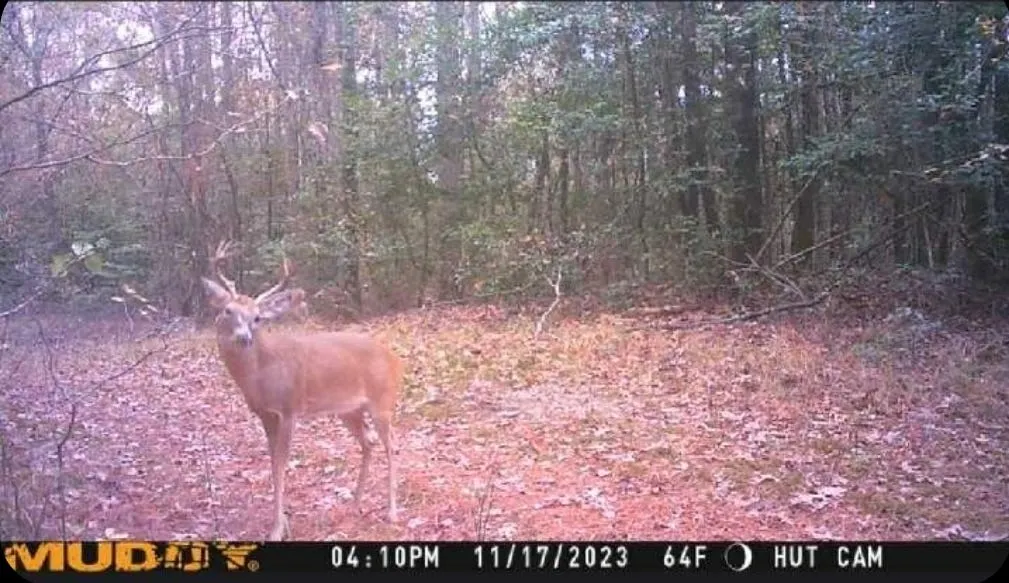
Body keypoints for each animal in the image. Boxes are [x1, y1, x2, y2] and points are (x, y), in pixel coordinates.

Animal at [200, 240, 402, 540]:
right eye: (228, 310)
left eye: (257, 318)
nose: (244, 337)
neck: (262, 372)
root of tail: (395, 358)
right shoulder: (265, 414)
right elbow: (273, 465)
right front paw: (281, 525)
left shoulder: (289, 408)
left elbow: (281, 466)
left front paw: (276, 531)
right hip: (349, 410)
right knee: (369, 443)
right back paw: (355, 503)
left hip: (382, 401)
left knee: (392, 446)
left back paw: (391, 512)